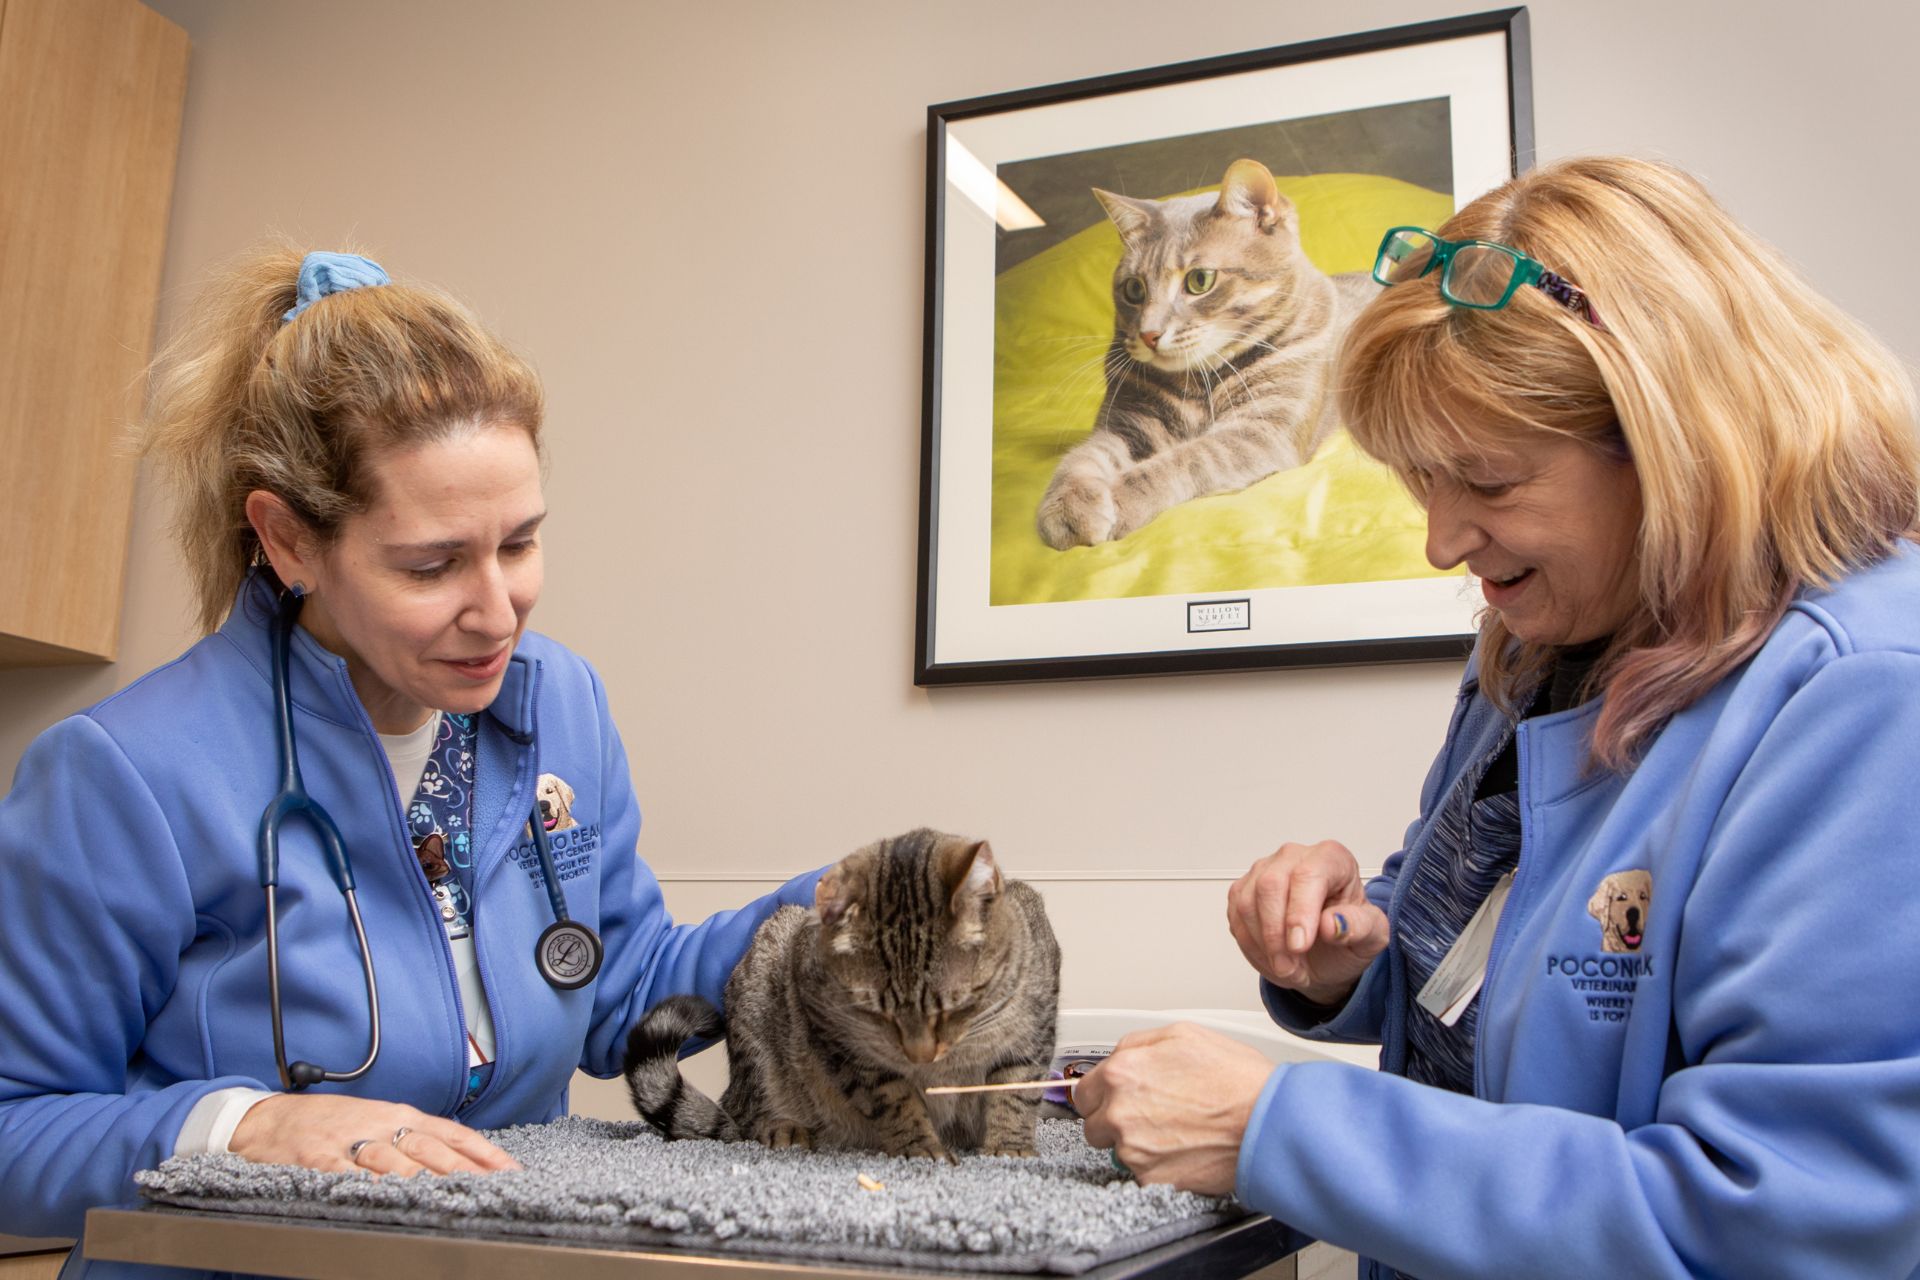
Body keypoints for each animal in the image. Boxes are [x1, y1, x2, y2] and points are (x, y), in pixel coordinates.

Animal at [622, 832, 1059, 1159]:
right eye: (876, 1012)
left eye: (953, 1005)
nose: (920, 1054)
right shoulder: (838, 1038)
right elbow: (896, 1100)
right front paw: (920, 1147)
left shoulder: (1034, 1032)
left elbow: (1016, 1093)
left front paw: (1009, 1147)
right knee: (743, 1113)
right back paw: (783, 1127)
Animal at [1036, 157, 1382, 548]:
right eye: (1134, 289)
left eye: (1199, 280)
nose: (1149, 334)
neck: (1198, 381)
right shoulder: (1126, 425)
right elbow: (1082, 456)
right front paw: (1068, 507)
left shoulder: (1261, 431)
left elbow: (1188, 458)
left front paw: (1123, 497)